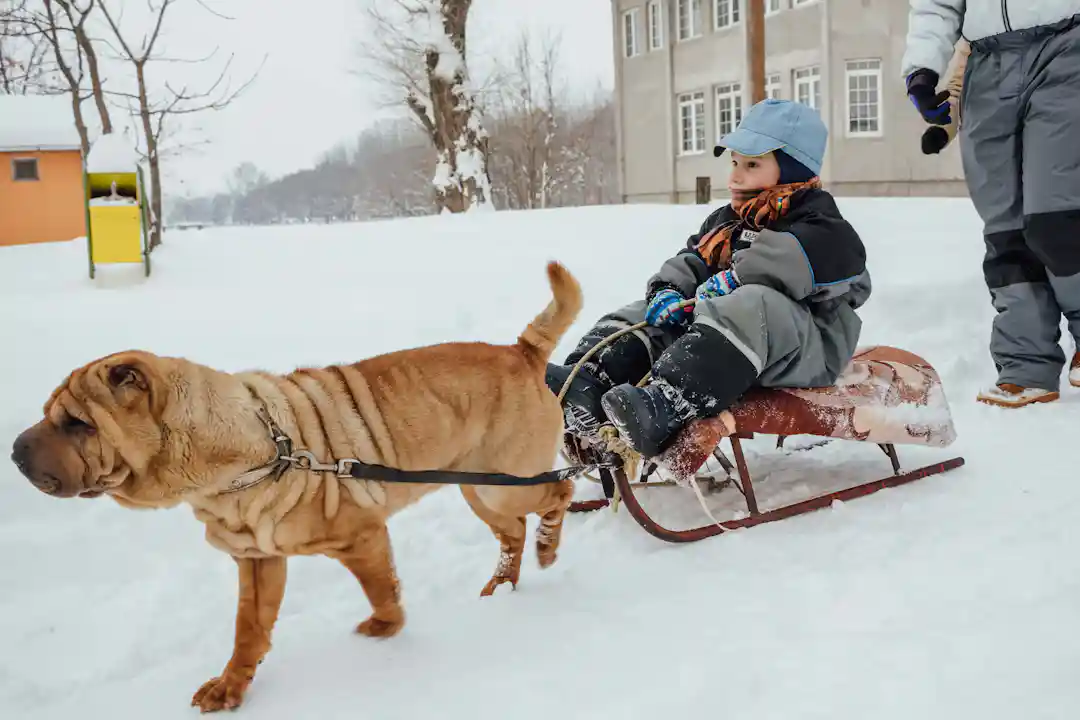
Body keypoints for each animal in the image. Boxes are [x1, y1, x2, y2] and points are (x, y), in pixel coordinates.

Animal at [10, 260, 583, 716]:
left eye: (77, 424)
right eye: (50, 415)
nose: (14, 453)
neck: (245, 452)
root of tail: (522, 351)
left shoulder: (361, 538)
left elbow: (383, 592)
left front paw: (384, 631)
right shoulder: (258, 559)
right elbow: (248, 630)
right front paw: (229, 688)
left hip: (507, 484)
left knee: (560, 495)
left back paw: (549, 548)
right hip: (476, 490)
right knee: (511, 533)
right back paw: (502, 586)